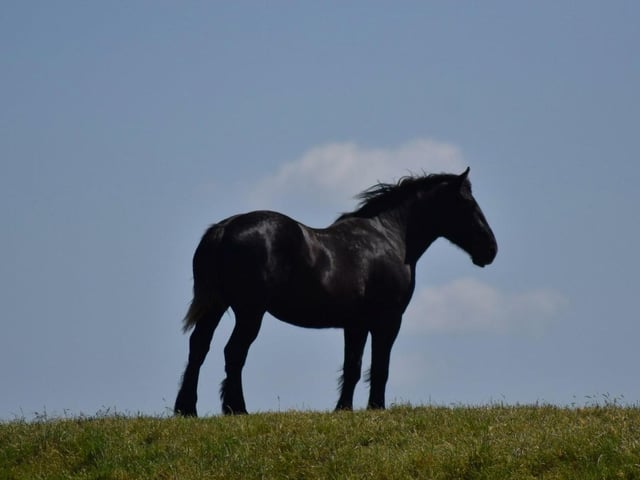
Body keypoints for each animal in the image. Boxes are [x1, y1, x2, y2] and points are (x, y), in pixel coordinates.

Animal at [174, 167, 497, 416]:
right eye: (468, 204)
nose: (491, 249)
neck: (389, 237)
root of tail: (224, 228)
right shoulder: (388, 321)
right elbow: (379, 367)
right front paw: (376, 408)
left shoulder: (356, 324)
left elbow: (352, 366)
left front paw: (343, 409)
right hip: (250, 312)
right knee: (234, 352)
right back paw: (236, 409)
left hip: (217, 307)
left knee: (198, 348)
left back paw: (187, 409)